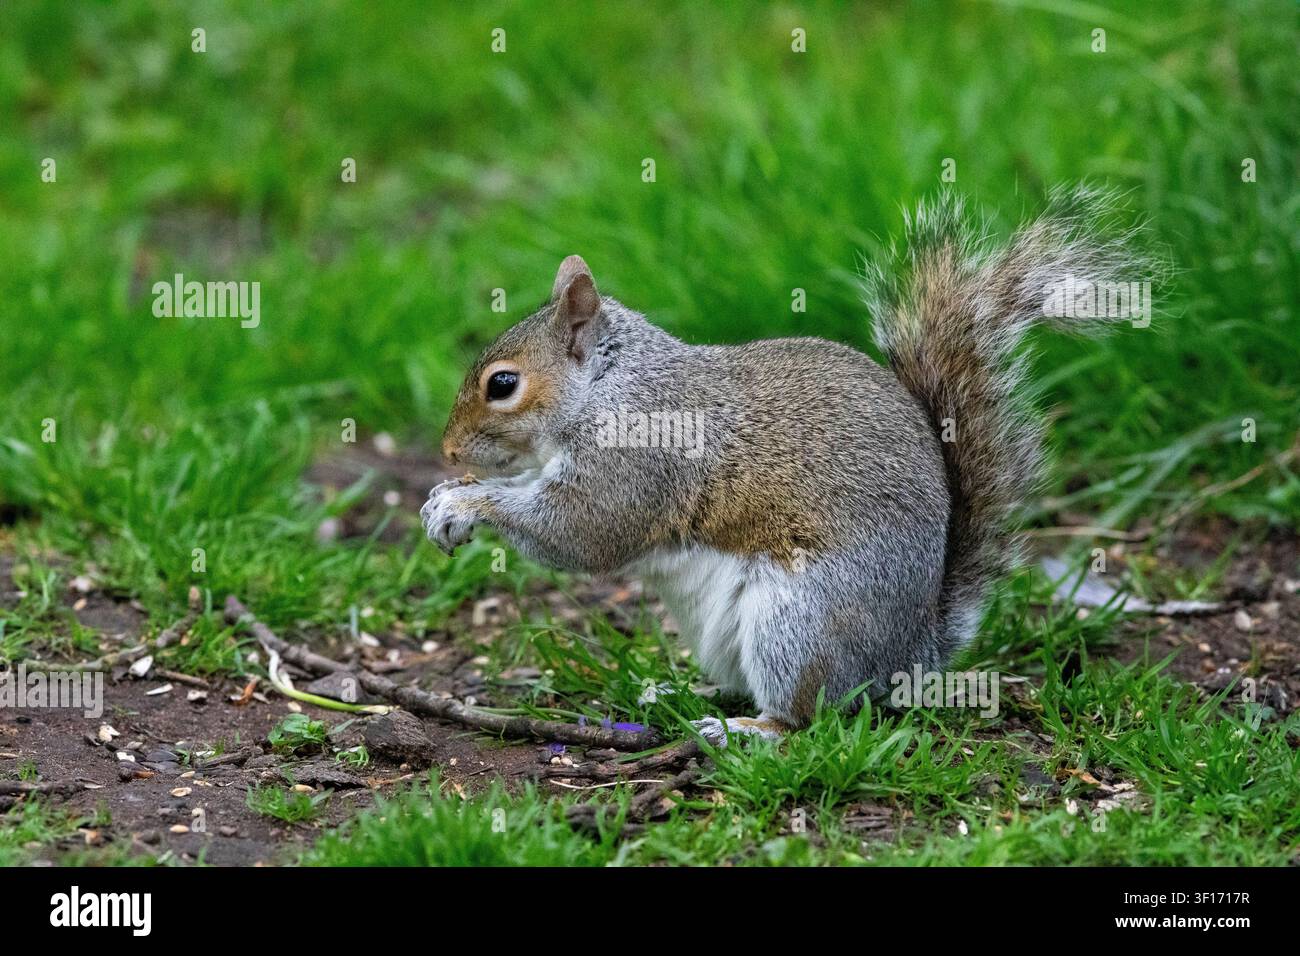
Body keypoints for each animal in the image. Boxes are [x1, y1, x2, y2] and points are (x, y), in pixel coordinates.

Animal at [422, 186, 1145, 741]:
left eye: (503, 384)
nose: (448, 451)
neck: (610, 385)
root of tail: (913, 652)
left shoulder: (638, 456)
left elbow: (581, 532)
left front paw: (463, 502)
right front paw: (450, 492)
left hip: (801, 622)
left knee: (810, 712)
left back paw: (747, 729)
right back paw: (684, 693)